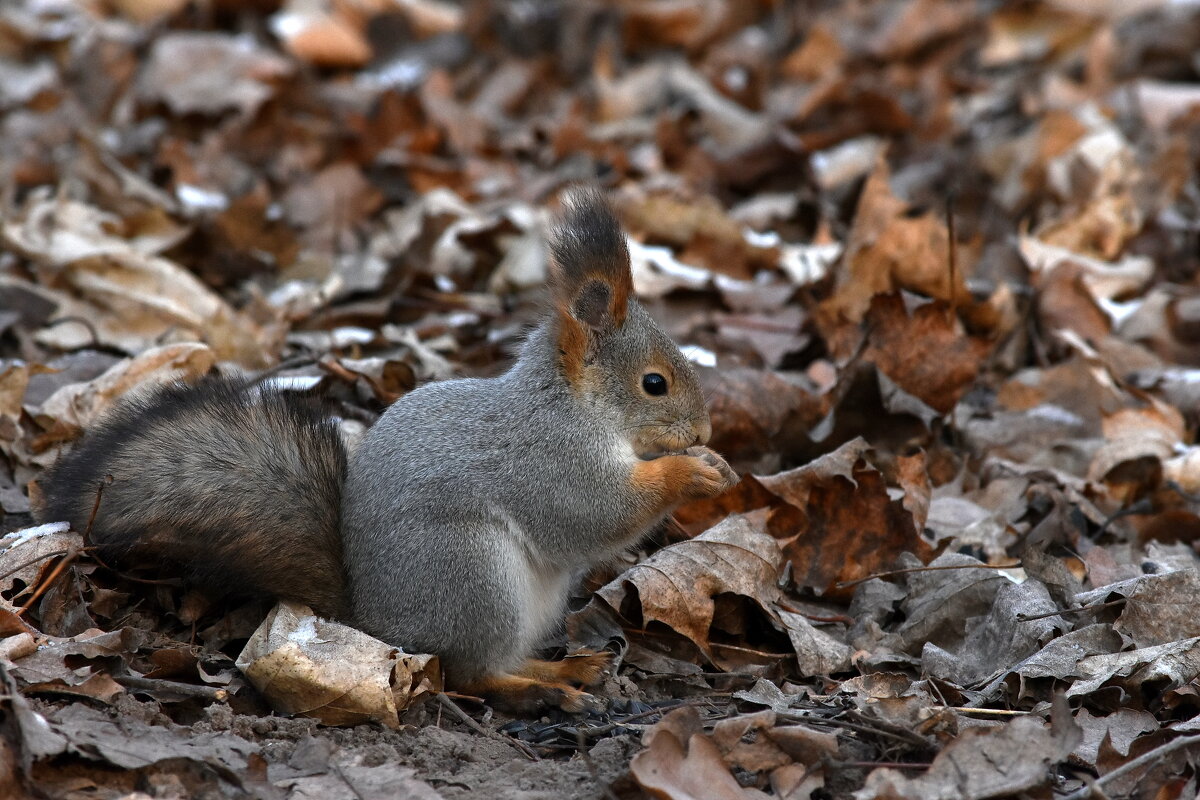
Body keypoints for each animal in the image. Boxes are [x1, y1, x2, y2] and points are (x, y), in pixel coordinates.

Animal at [32, 189, 739, 714]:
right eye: (654, 383)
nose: (704, 432)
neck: (574, 407)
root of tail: (379, 624)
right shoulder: (547, 461)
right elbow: (596, 513)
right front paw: (694, 473)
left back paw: (568, 670)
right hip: (473, 577)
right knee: (469, 672)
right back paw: (545, 691)